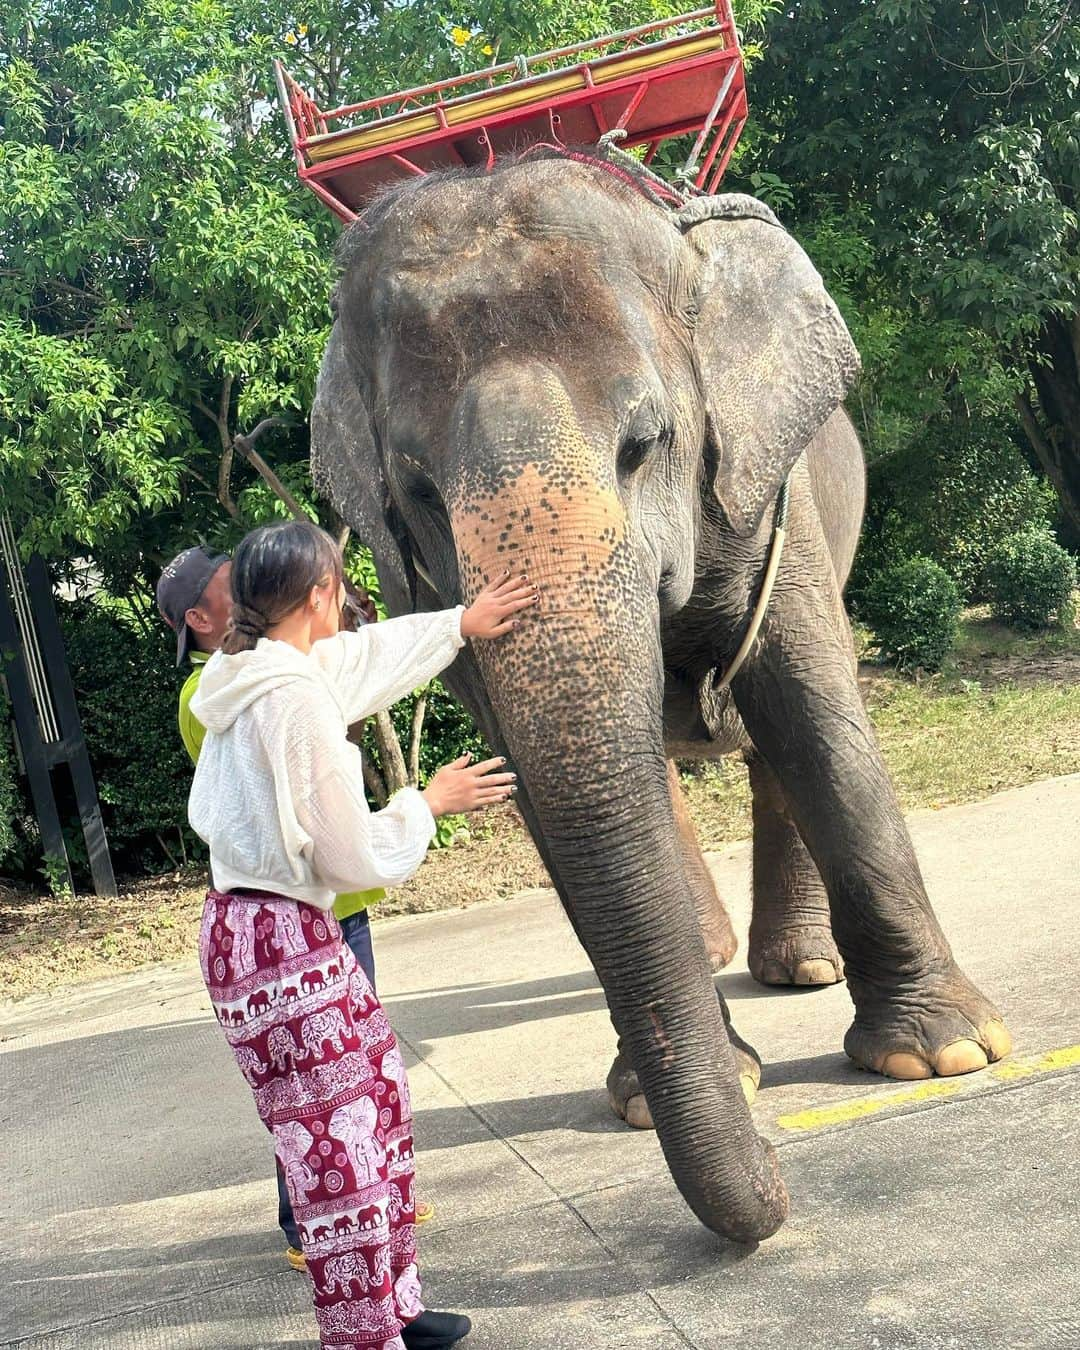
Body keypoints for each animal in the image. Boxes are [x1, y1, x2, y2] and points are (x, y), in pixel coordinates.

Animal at [306, 150, 1015, 1242]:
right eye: (418, 493)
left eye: (645, 443)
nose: (779, 1178)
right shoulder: (422, 585)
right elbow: (548, 785)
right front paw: (674, 1093)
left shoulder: (767, 494)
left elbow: (811, 709)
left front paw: (943, 1054)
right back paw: (730, 954)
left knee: (776, 748)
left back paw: (800, 970)